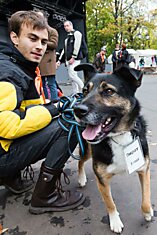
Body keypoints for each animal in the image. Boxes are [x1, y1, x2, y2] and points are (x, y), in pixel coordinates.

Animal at [73, 63, 153, 234]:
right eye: (85, 90)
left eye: (109, 91)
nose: (77, 110)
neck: (119, 136)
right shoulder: (102, 180)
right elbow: (110, 203)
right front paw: (115, 222)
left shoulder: (144, 168)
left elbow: (146, 195)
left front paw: (148, 211)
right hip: (87, 150)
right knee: (80, 161)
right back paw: (81, 178)